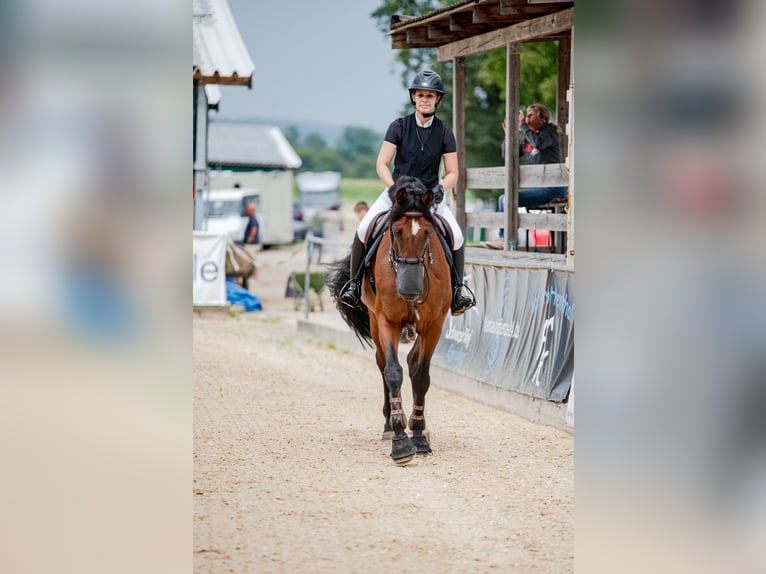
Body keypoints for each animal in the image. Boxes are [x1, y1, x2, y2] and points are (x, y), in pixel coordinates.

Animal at [328, 177, 450, 468]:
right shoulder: (387, 321)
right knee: (383, 363)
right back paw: (387, 426)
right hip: (374, 320)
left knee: (413, 362)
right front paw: (400, 440)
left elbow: (421, 375)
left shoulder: (434, 325)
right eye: (395, 231)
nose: (409, 290)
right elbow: (393, 372)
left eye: (428, 232)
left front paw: (418, 436)